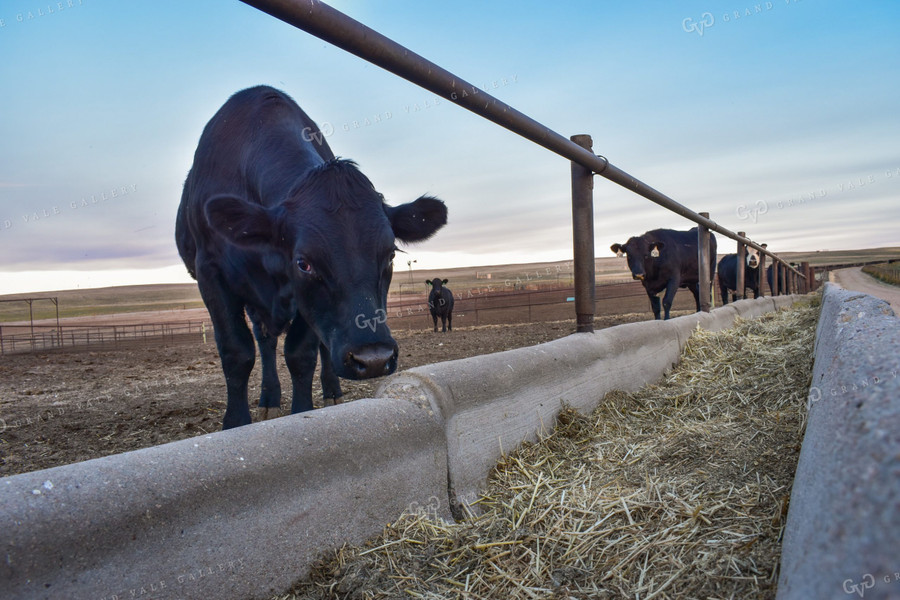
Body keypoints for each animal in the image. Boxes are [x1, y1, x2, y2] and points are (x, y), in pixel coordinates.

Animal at [176, 86, 446, 428]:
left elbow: (301, 355)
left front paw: (303, 412)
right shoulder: (211, 273)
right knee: (264, 341)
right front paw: (236, 423)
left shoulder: (303, 301)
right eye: (303, 263)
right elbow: (237, 352)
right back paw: (269, 399)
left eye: (390, 256)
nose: (373, 359)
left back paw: (330, 393)